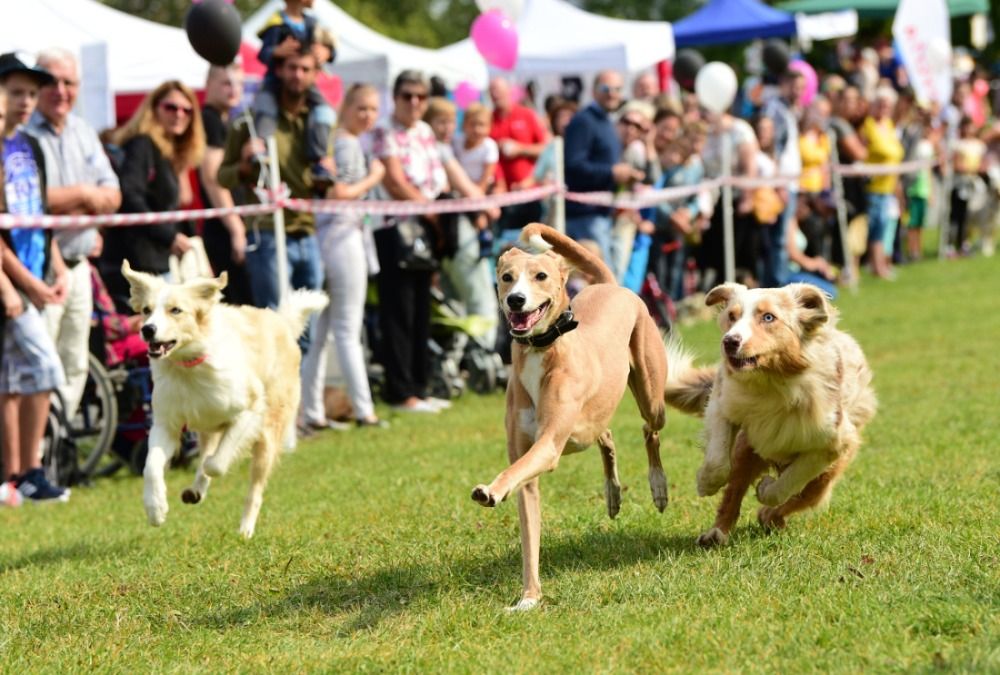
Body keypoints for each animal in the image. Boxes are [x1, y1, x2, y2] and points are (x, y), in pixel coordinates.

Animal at [119, 262, 326, 540]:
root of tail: (282, 322)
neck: (189, 368)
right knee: (208, 450)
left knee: (253, 489)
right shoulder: (166, 424)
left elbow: (216, 463)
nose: (147, 329)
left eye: (176, 310)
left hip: (268, 433)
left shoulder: (250, 410)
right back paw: (195, 490)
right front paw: (156, 508)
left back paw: (245, 528)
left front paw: (210, 469)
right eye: (146, 311)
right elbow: (151, 466)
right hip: (208, 425)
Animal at [470, 223, 668, 612]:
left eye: (541, 276)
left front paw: (490, 490)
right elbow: (529, 531)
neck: (541, 349)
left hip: (652, 396)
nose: (516, 300)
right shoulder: (527, 461)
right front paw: (529, 599)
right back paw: (612, 493)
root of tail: (611, 284)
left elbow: (513, 471)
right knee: (606, 436)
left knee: (648, 430)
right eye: (506, 277)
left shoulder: (546, 446)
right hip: (592, 422)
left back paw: (658, 487)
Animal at [664, 282, 876, 548]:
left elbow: (791, 481)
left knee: (803, 497)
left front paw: (766, 489)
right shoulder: (723, 404)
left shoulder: (834, 442)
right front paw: (705, 483)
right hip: (747, 449)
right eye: (732, 316)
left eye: (768, 317)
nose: (729, 341)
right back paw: (716, 534)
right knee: (733, 492)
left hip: (825, 477)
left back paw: (769, 516)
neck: (771, 381)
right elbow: (717, 460)